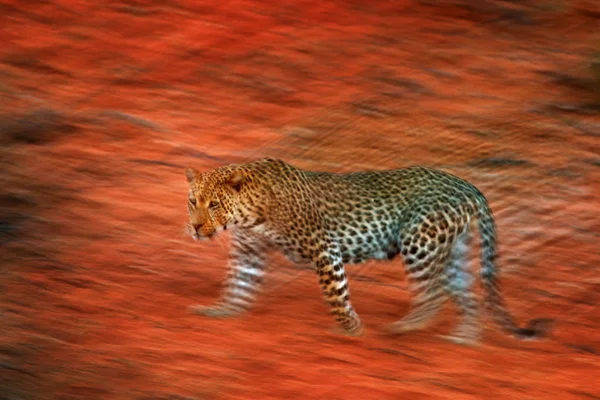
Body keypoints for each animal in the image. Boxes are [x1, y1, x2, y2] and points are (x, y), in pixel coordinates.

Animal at [184, 158, 552, 346]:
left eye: (214, 204)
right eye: (193, 201)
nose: (196, 228)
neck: (249, 214)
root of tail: (468, 186)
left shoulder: (324, 249)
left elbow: (335, 295)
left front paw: (351, 328)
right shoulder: (250, 252)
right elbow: (240, 284)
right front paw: (221, 311)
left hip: (420, 241)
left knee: (433, 292)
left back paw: (404, 328)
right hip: (451, 249)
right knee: (466, 294)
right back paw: (465, 338)